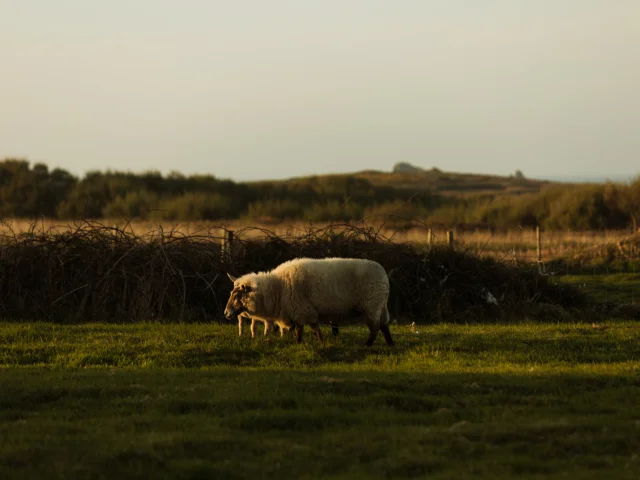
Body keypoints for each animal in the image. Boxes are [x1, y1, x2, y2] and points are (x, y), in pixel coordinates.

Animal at [224, 257, 394, 346]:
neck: (277, 288)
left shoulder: (300, 310)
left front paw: (298, 343)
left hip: (372, 305)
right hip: (380, 306)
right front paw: (320, 342)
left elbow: (300, 330)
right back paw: (390, 344)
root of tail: (383, 275)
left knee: (375, 328)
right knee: (384, 326)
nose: (226, 313)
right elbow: (314, 328)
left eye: (237, 296)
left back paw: (368, 345)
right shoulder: (307, 310)